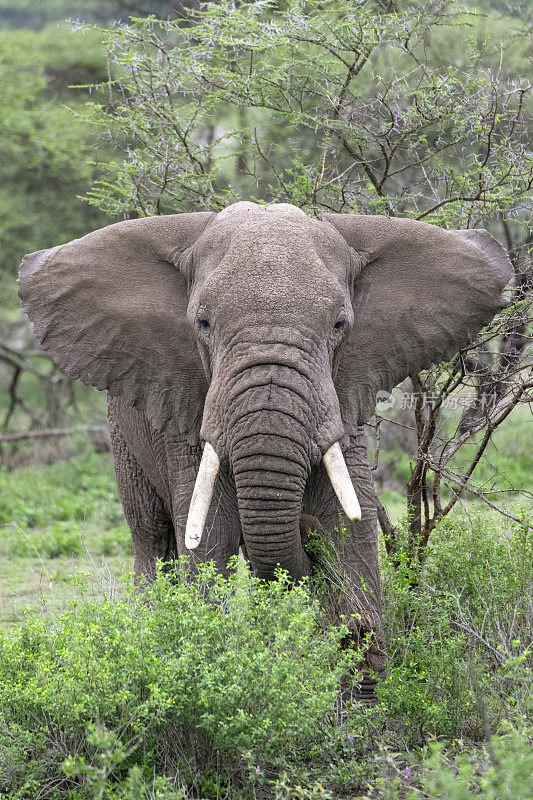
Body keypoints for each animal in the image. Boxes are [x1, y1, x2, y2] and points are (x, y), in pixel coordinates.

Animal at [17, 203, 512, 684]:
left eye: (340, 324)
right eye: (202, 323)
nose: (306, 534)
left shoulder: (344, 399)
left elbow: (348, 526)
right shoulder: (188, 415)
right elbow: (209, 538)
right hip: (123, 434)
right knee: (152, 538)